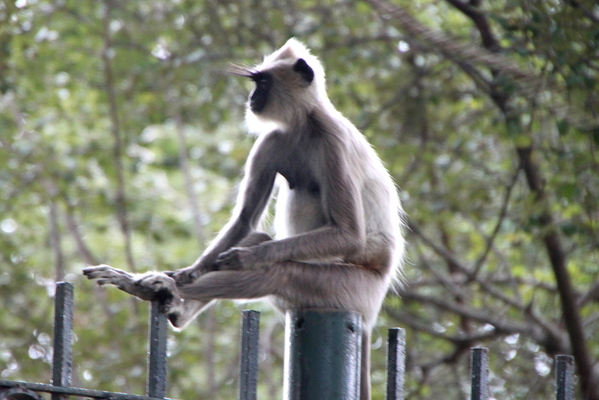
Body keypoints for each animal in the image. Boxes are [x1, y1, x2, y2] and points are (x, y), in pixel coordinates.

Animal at [83, 38, 404, 400]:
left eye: (262, 82)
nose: (252, 98)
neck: (303, 122)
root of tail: (369, 315)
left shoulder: (331, 140)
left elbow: (349, 234)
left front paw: (242, 259)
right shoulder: (272, 139)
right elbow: (245, 221)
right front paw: (189, 272)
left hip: (350, 288)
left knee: (278, 272)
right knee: (263, 241)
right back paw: (172, 299)